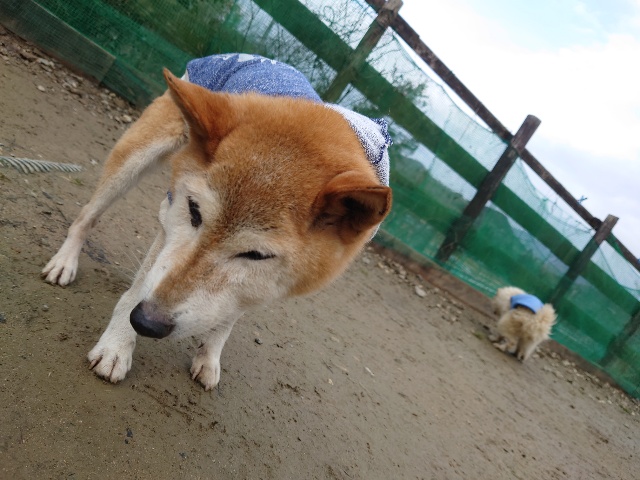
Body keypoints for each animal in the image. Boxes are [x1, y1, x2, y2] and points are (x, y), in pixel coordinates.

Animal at [42, 54, 392, 390]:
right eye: (194, 211)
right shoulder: (172, 222)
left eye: (256, 255)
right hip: (134, 161)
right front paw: (116, 348)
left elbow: (227, 317)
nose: (145, 322)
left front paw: (209, 357)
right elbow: (136, 290)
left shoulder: (261, 283)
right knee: (87, 217)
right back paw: (64, 262)